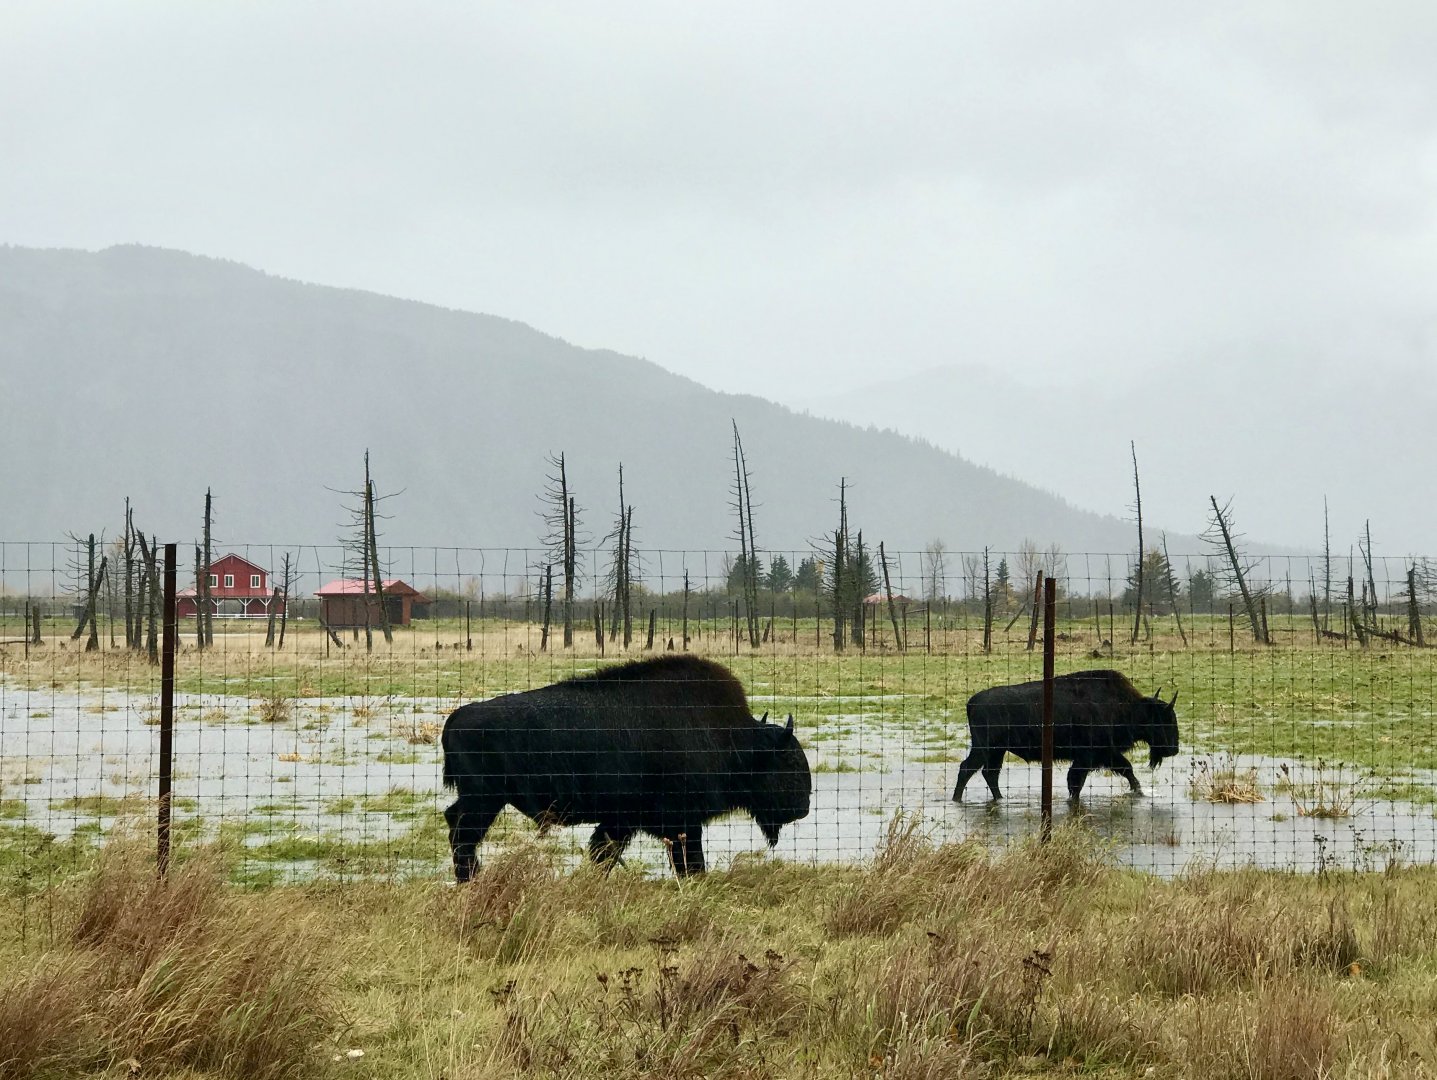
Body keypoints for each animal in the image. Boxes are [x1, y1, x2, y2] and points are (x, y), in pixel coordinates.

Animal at [441, 655, 812, 880]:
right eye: (789, 761)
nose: (804, 807)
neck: (738, 741)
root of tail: (456, 719)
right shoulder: (681, 821)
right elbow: (689, 860)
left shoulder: (623, 820)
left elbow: (603, 851)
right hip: (484, 799)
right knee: (463, 834)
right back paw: (470, 879)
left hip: (481, 799)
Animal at [951, 669, 1180, 801]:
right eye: (1166, 719)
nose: (1174, 749)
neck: (1129, 707)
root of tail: (972, 701)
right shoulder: (1091, 756)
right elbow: (1077, 780)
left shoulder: (1103, 755)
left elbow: (1126, 770)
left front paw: (1139, 791)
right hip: (985, 749)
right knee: (967, 769)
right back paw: (957, 799)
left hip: (997, 751)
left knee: (990, 774)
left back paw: (998, 799)